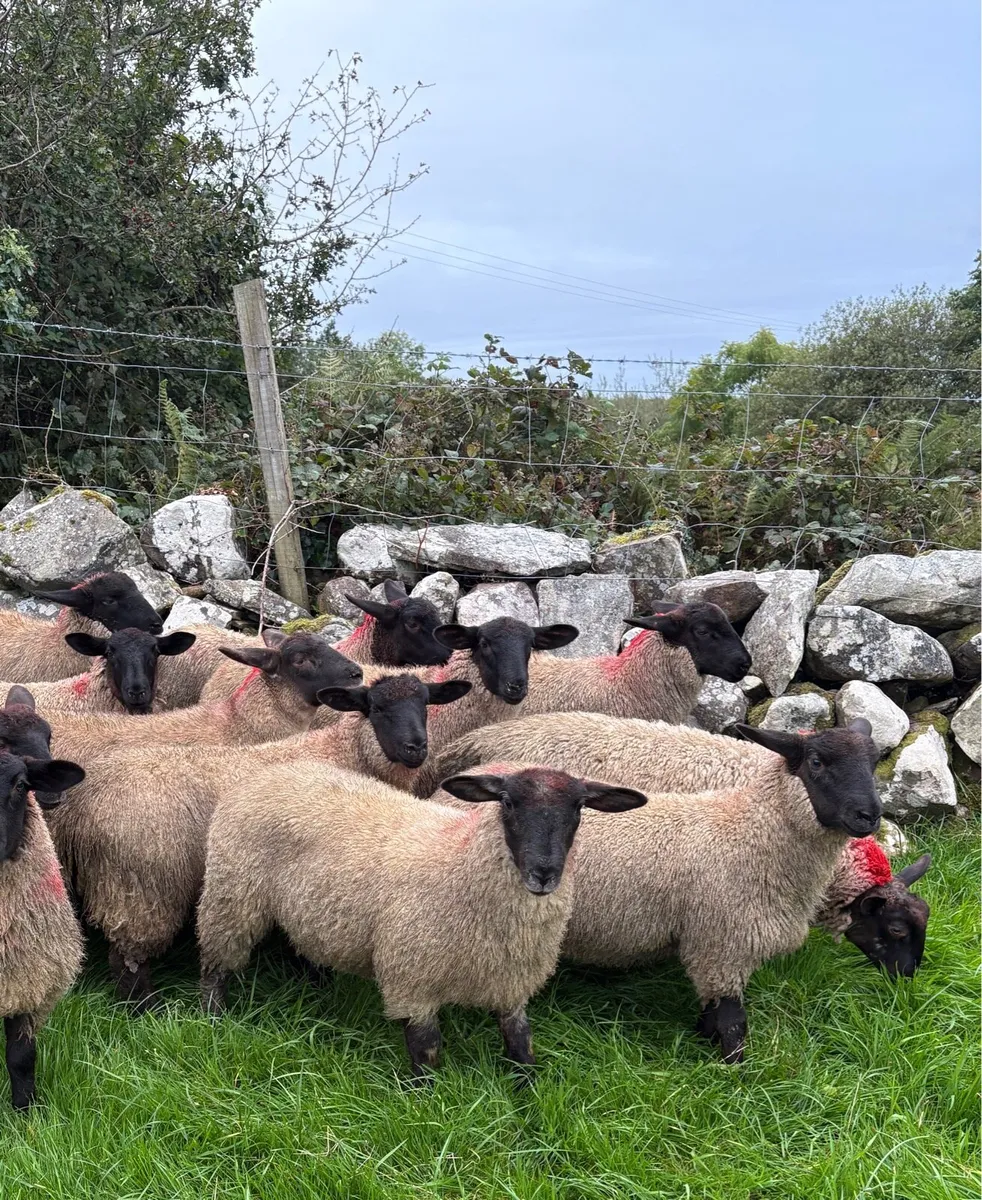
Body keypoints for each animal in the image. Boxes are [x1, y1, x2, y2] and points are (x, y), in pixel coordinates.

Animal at [46, 673, 473, 1011]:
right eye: (376, 708)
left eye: (426, 704)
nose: (416, 748)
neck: (342, 752)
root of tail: (81, 806)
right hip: (140, 888)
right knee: (129, 959)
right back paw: (145, 1010)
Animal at [196, 765, 645, 1079]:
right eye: (507, 802)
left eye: (579, 807)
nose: (544, 873)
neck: (459, 860)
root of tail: (269, 770)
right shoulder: (411, 978)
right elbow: (426, 1050)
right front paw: (424, 1100)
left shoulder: (510, 982)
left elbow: (522, 1045)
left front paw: (527, 1093)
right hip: (231, 895)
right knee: (215, 964)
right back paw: (213, 1019)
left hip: (308, 906)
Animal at [439, 719, 882, 1064]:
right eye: (817, 762)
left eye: (875, 762)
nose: (870, 816)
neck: (750, 831)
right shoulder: (723, 945)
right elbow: (734, 1022)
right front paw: (735, 1074)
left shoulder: (711, 947)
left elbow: (712, 1010)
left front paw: (703, 1040)